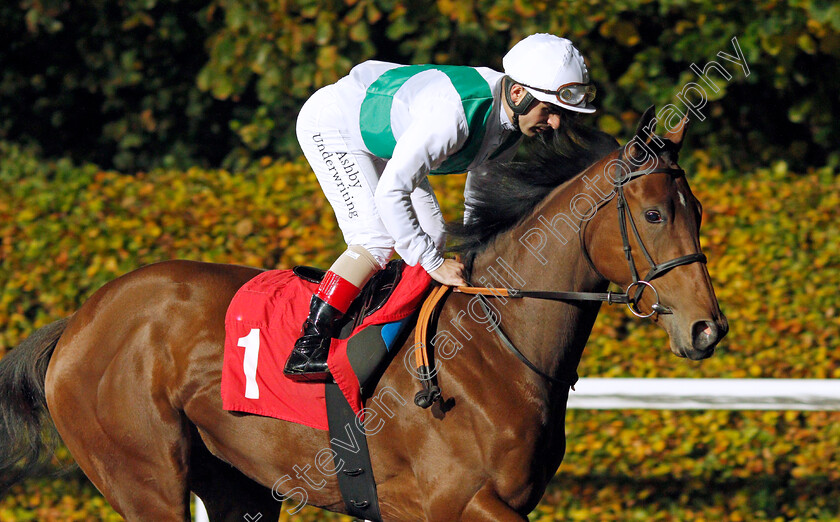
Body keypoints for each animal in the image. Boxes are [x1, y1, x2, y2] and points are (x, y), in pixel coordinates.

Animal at [0, 105, 724, 516]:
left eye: (697, 210)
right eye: (654, 215)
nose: (707, 328)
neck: (497, 349)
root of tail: (79, 321)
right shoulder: (454, 504)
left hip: (236, 485)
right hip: (145, 478)